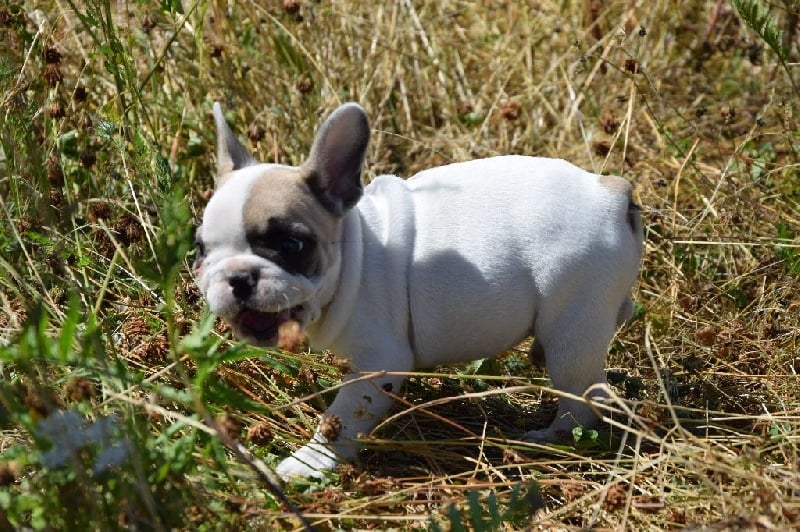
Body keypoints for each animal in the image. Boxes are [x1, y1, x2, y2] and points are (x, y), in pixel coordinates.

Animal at [194, 102, 643, 479]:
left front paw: (310, 461)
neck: (355, 252)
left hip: (572, 328)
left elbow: (343, 418)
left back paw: (550, 440)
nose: (238, 278)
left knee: (582, 400)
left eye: (291, 245)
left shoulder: (380, 363)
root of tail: (610, 192)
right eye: (200, 249)